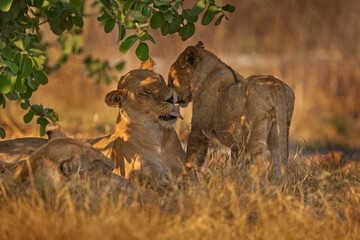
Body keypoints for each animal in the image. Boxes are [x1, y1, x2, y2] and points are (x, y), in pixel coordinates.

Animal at [167, 41, 294, 180]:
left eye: (171, 80)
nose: (168, 97)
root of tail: (277, 86)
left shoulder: (199, 130)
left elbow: (192, 157)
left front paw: (185, 180)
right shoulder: (236, 145)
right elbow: (237, 166)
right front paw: (236, 180)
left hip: (254, 133)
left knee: (259, 167)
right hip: (279, 130)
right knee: (279, 161)